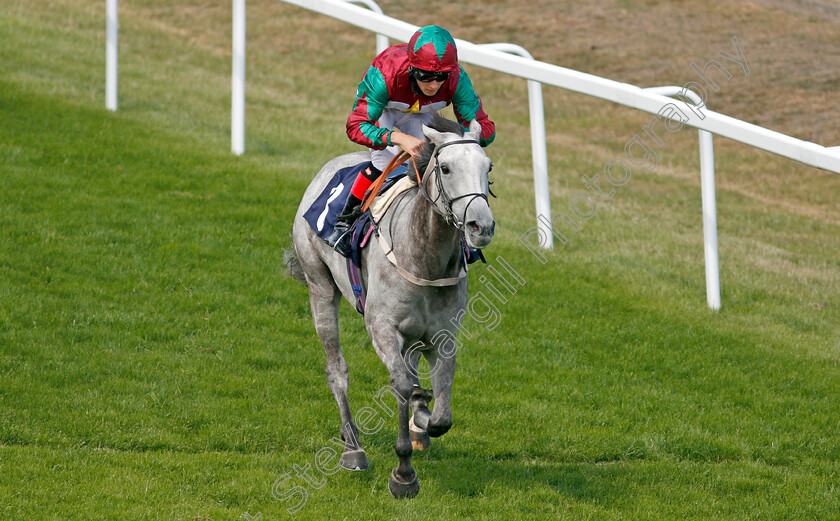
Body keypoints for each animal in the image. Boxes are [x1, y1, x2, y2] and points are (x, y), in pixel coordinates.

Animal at [286, 116, 496, 498]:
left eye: (487, 168)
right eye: (445, 167)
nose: (481, 226)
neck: (424, 257)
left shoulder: (442, 335)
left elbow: (440, 413)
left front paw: (422, 419)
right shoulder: (382, 326)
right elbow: (401, 383)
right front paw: (403, 473)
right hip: (319, 286)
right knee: (336, 369)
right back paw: (352, 446)